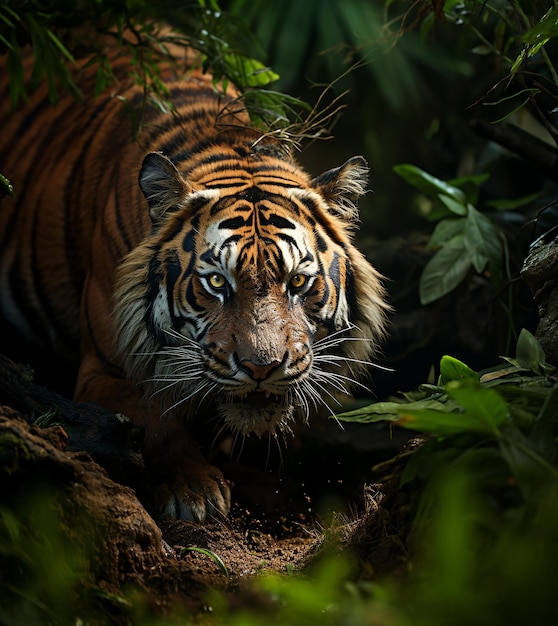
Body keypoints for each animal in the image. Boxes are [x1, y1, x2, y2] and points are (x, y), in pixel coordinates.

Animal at [0, 36, 390, 520]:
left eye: (297, 283)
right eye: (218, 284)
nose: (261, 369)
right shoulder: (102, 371)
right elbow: (152, 415)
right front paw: (193, 490)